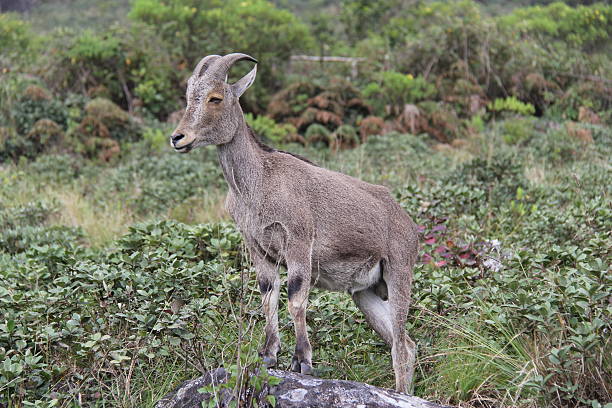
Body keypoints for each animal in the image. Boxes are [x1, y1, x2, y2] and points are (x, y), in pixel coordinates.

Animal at [171, 53, 420, 392]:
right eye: (188, 98)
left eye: (215, 98)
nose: (178, 138)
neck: (258, 183)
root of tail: (407, 222)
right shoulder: (258, 248)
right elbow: (268, 296)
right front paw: (268, 354)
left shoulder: (299, 242)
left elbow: (296, 299)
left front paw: (302, 360)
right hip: (365, 292)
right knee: (404, 343)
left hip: (398, 272)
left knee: (400, 346)